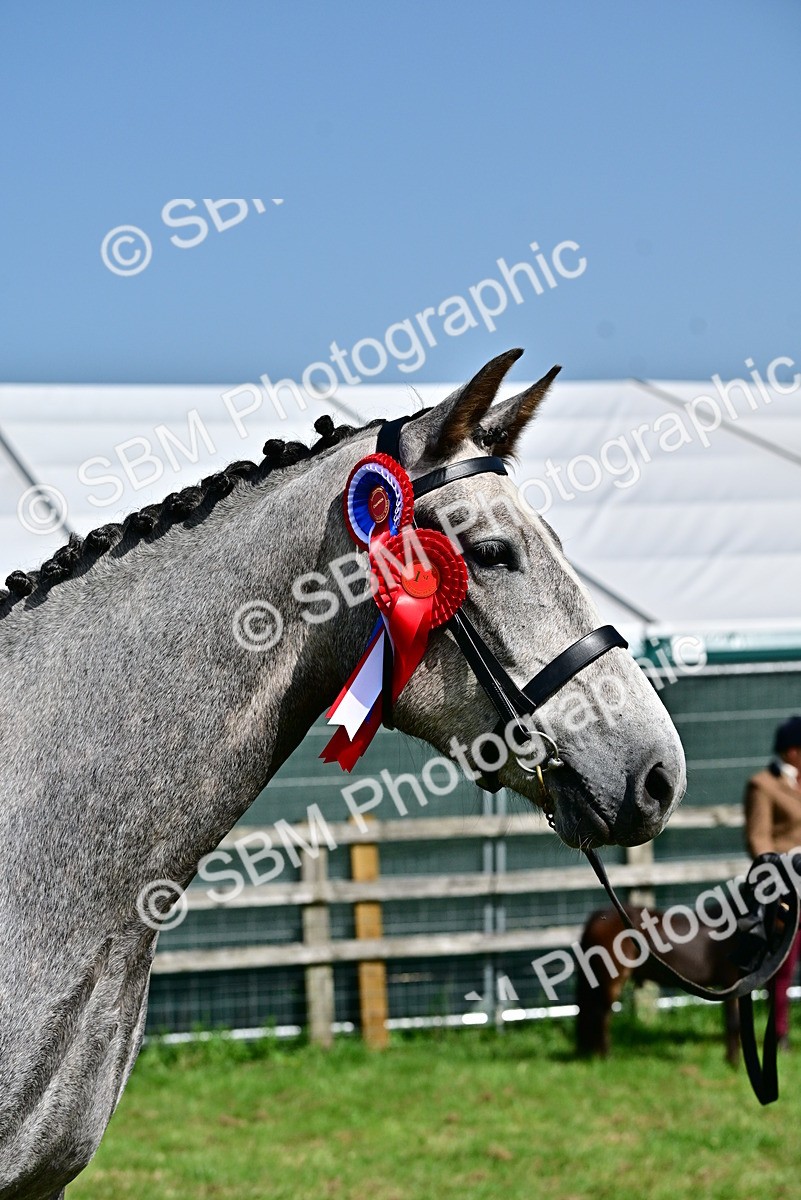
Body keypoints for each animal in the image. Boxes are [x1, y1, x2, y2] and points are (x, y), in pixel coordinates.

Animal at [575, 906, 741, 1065]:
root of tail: (598, 916)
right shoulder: (731, 981)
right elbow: (733, 1022)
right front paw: (733, 1061)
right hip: (612, 981)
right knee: (601, 1015)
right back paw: (606, 1056)